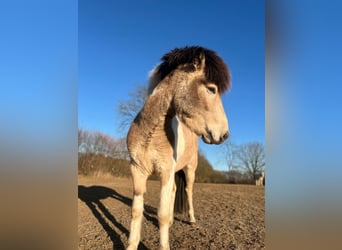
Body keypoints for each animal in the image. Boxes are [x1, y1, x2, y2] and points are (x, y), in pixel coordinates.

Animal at [127, 46, 231, 249]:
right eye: (211, 89)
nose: (224, 135)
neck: (151, 135)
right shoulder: (138, 171)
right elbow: (136, 211)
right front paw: (131, 245)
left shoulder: (165, 172)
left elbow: (162, 214)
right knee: (175, 190)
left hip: (190, 170)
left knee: (188, 191)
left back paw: (191, 220)